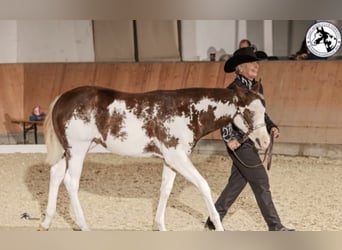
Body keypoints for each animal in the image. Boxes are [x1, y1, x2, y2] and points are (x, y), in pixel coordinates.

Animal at [40, 83, 270, 230]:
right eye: (249, 112)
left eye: (264, 111)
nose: (265, 142)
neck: (188, 111)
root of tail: (62, 98)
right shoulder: (178, 157)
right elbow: (203, 185)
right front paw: (218, 226)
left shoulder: (170, 161)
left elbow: (165, 190)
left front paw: (160, 226)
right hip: (77, 150)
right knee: (70, 182)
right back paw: (84, 226)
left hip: (67, 152)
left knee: (55, 177)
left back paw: (46, 222)